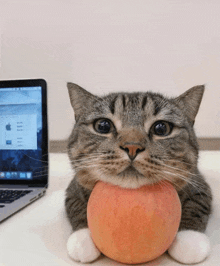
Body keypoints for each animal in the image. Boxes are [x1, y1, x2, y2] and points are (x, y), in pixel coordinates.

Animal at [64, 83, 212, 264]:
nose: (132, 147)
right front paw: (82, 240)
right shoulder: (73, 188)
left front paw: (190, 240)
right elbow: (76, 205)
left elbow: (196, 204)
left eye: (161, 128)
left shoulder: (199, 182)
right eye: (103, 126)